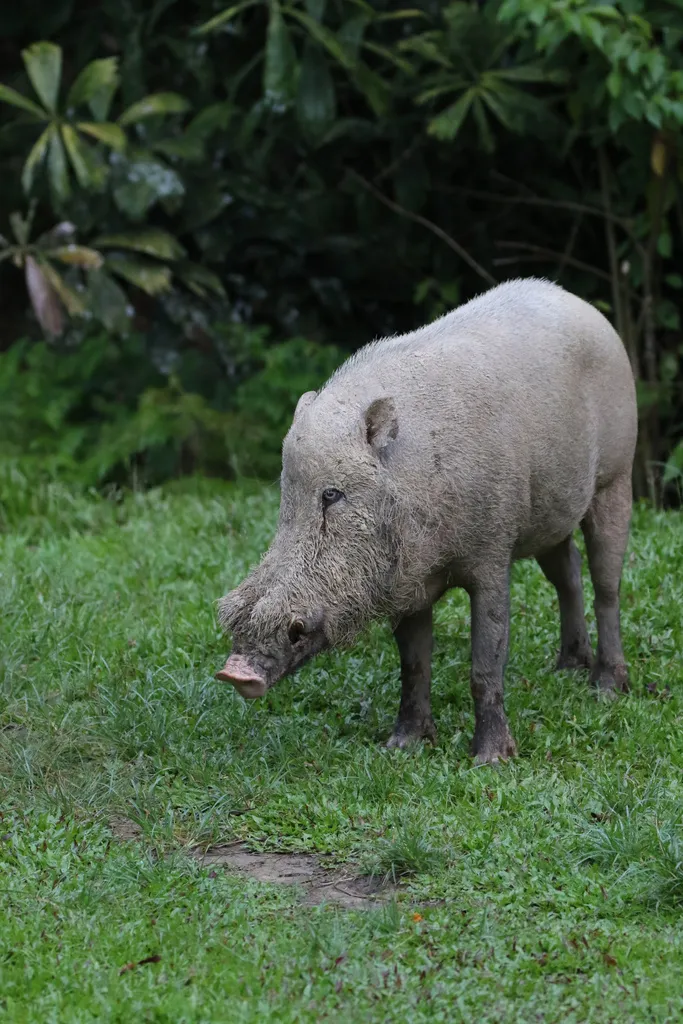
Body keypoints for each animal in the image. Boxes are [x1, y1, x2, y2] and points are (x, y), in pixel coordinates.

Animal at [216, 278, 637, 763]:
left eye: (332, 495)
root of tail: (585, 307)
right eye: (288, 495)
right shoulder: (407, 583)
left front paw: (490, 760)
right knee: (567, 571)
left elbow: (486, 661)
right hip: (552, 514)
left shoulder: (493, 553)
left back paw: (605, 688)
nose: (235, 672)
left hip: (616, 476)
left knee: (607, 582)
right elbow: (414, 661)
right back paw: (566, 669)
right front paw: (402, 746)